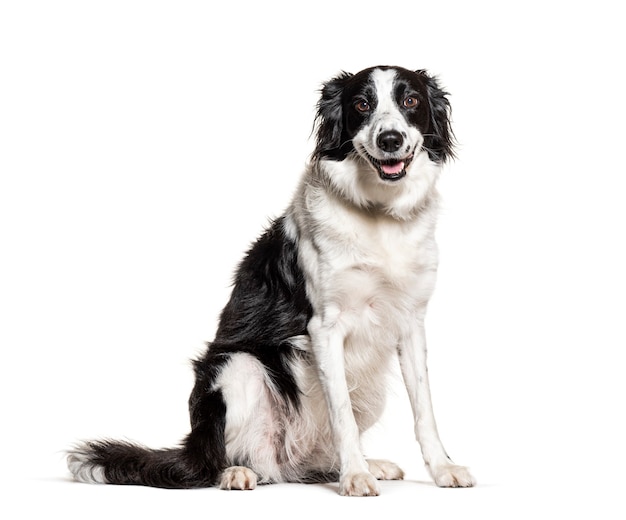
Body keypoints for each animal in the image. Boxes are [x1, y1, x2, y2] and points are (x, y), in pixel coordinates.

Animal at [67, 65, 472, 496]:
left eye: (410, 100)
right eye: (362, 105)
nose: (390, 140)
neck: (380, 213)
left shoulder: (411, 323)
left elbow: (425, 410)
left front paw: (442, 469)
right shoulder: (325, 327)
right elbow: (342, 413)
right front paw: (355, 476)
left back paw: (361, 464)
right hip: (236, 368)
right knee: (221, 460)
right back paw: (238, 472)